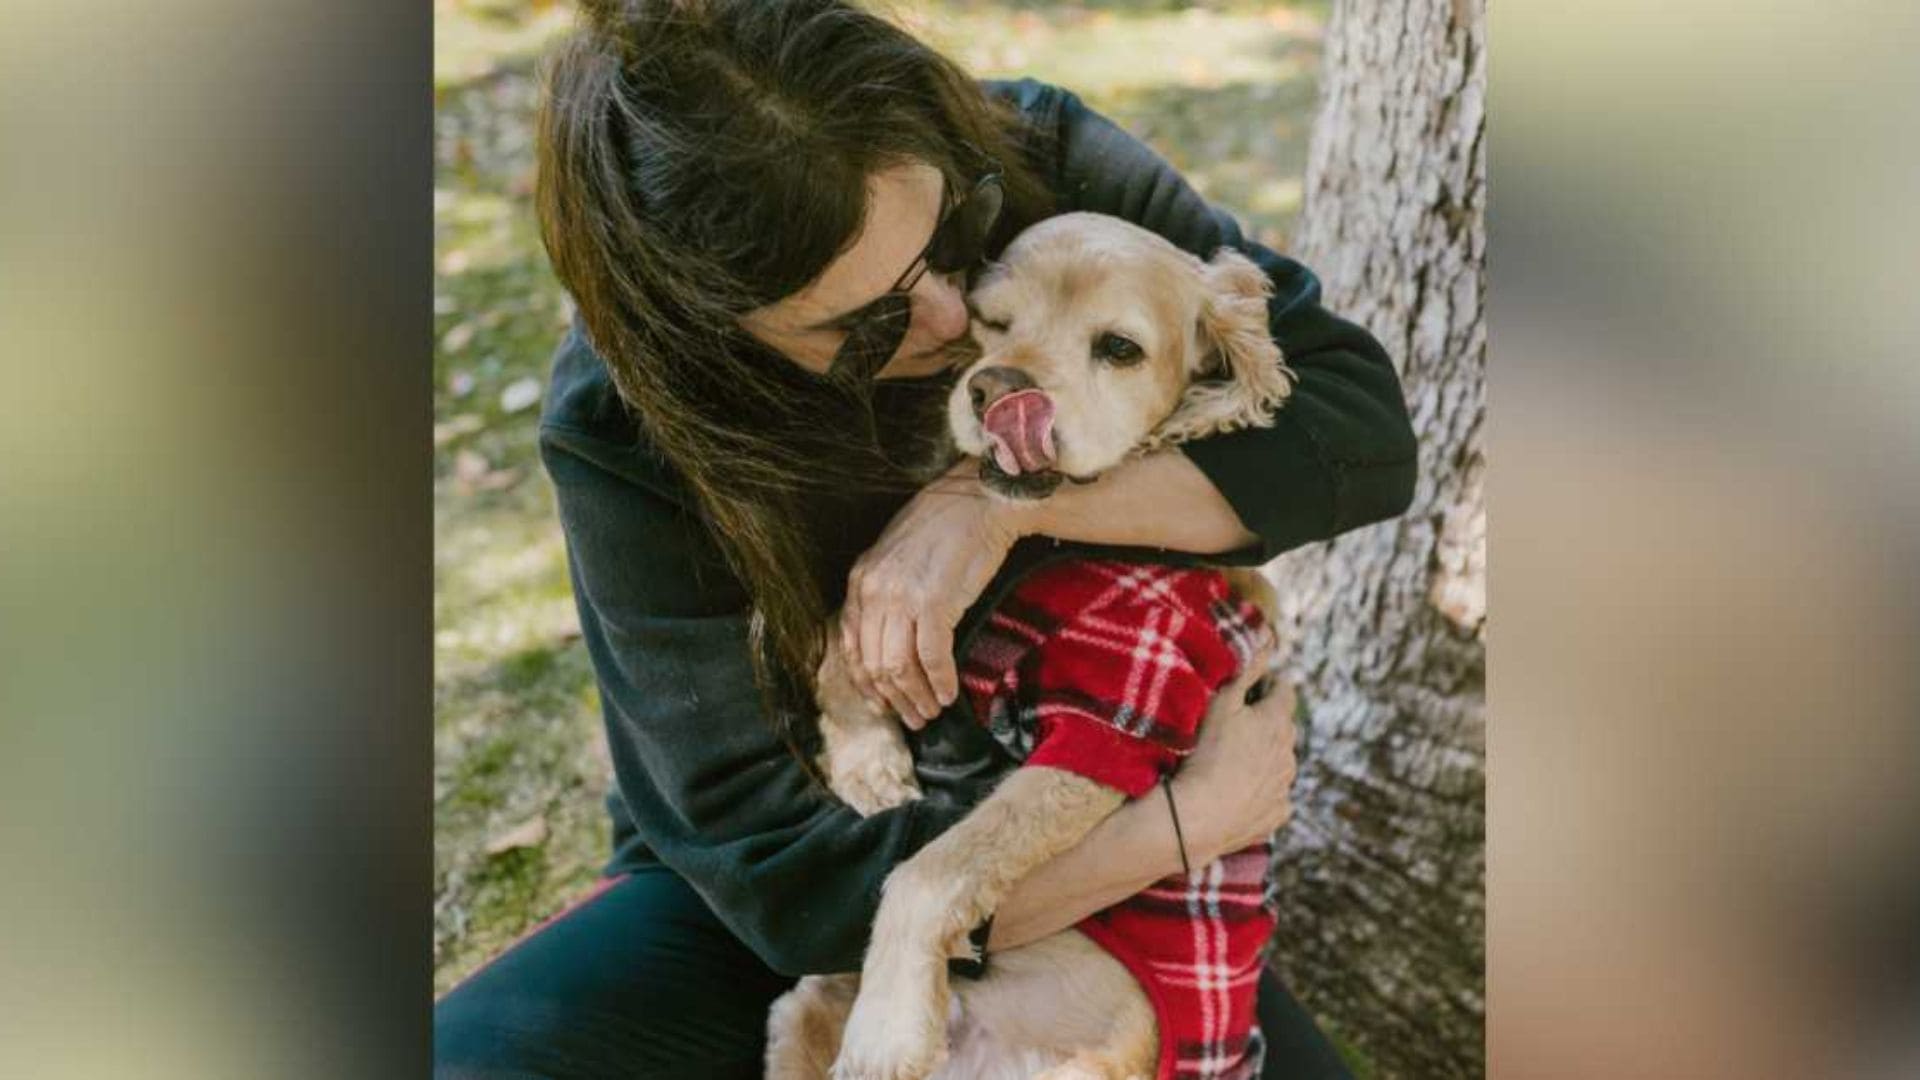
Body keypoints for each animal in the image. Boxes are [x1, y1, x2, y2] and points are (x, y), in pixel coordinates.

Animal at [760, 212, 1290, 1076]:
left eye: (1119, 348)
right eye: (992, 322)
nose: (995, 389)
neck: (1044, 551)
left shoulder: (1109, 727)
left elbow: (931, 869)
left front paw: (889, 1029)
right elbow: (851, 622)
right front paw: (866, 759)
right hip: (797, 1008)